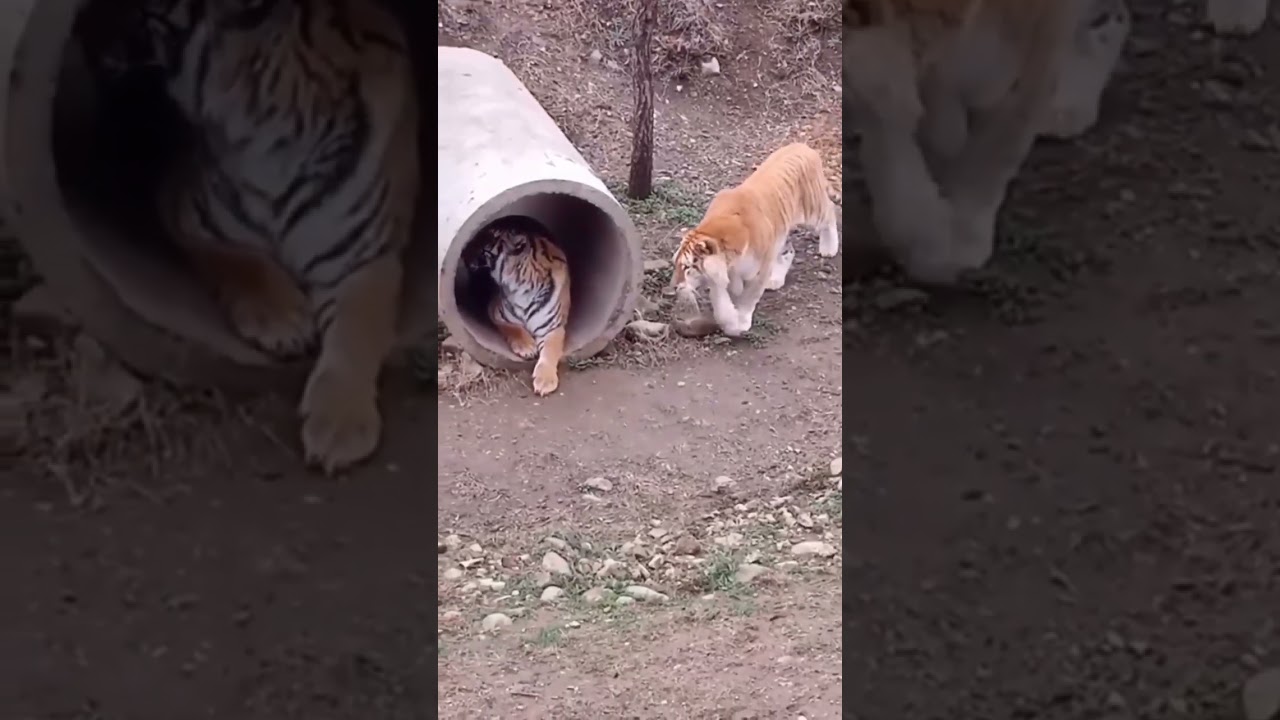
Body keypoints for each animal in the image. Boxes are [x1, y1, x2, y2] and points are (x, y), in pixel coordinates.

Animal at [77, 0, 419, 474]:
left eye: (143, 11)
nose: (82, 37)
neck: (268, 138)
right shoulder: (186, 214)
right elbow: (240, 261)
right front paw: (282, 321)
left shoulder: (366, 256)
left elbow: (356, 330)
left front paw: (339, 426)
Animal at [464, 216, 572, 397]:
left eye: (483, 247)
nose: (464, 256)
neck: (522, 287)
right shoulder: (497, 313)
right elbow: (514, 328)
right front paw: (527, 347)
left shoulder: (553, 326)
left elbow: (550, 350)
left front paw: (545, 380)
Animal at [670, 142, 839, 338]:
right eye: (676, 264)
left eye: (687, 267)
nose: (674, 287)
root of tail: (803, 146)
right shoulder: (723, 278)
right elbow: (722, 304)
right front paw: (729, 320)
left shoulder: (758, 271)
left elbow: (747, 299)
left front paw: (740, 323)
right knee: (789, 250)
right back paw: (776, 280)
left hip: (813, 212)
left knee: (830, 212)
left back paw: (829, 248)